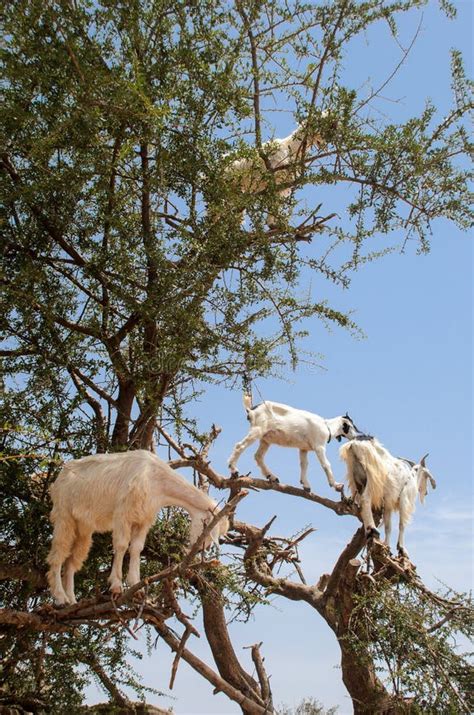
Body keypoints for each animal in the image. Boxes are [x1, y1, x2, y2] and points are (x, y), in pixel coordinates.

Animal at [46, 450, 230, 608]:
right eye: (207, 526)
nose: (202, 548)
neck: (155, 479)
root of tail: (58, 480)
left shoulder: (143, 520)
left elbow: (136, 548)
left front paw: (136, 586)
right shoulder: (123, 515)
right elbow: (121, 546)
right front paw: (116, 585)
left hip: (83, 526)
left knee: (71, 562)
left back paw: (72, 600)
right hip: (64, 516)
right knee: (57, 555)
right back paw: (60, 598)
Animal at [229, 394, 360, 496]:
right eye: (351, 426)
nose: (358, 435)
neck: (327, 426)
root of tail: (251, 409)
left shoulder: (303, 448)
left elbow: (304, 464)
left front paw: (305, 485)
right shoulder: (319, 446)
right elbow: (326, 464)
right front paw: (336, 485)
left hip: (265, 439)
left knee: (258, 456)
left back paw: (272, 477)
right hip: (257, 430)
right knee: (240, 446)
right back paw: (234, 469)